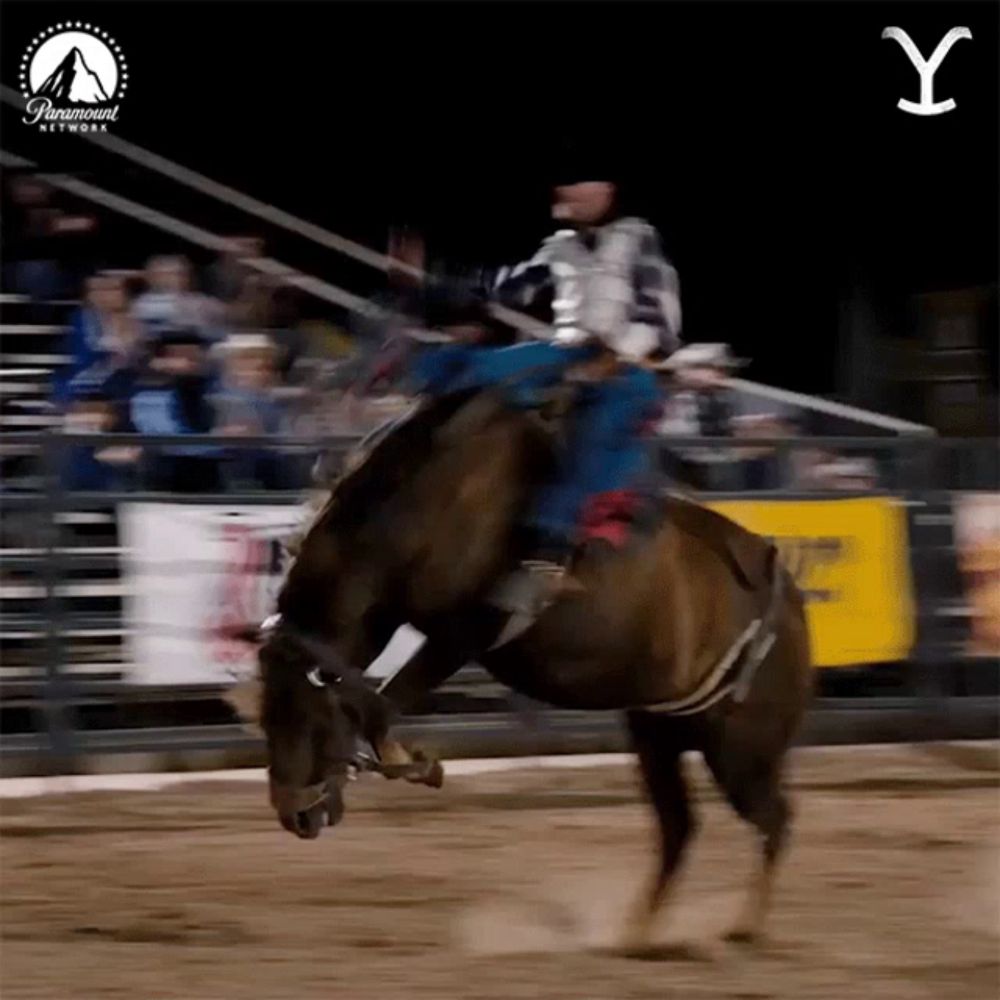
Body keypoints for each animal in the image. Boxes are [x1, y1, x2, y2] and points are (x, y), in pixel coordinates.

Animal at [234, 386, 812, 948]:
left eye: (305, 719)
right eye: (265, 719)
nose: (294, 813)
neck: (429, 502)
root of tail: (786, 592)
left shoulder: (466, 632)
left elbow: (376, 702)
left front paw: (413, 761)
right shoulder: (392, 620)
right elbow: (369, 694)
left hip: (740, 748)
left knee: (776, 819)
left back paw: (744, 925)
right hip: (660, 733)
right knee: (680, 828)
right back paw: (638, 932)